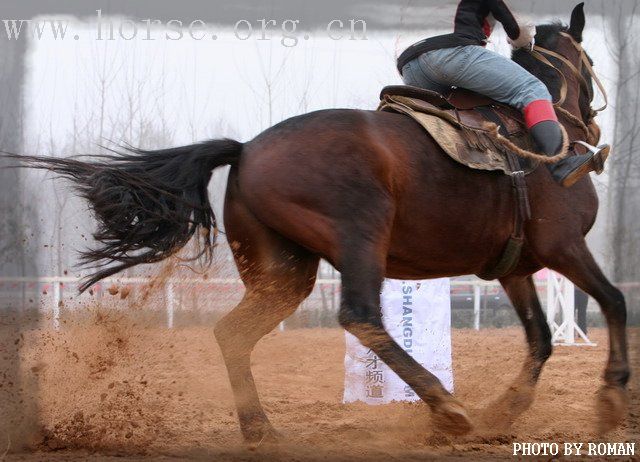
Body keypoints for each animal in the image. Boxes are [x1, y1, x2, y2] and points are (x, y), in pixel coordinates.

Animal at [7, 3, 632, 442]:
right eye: (589, 63)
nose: (594, 129)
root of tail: (247, 149)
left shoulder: (516, 268)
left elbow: (541, 339)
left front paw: (505, 412)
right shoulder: (564, 247)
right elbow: (613, 301)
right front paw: (611, 398)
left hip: (284, 272)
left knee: (234, 334)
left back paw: (261, 430)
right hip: (361, 238)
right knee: (359, 315)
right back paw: (444, 407)